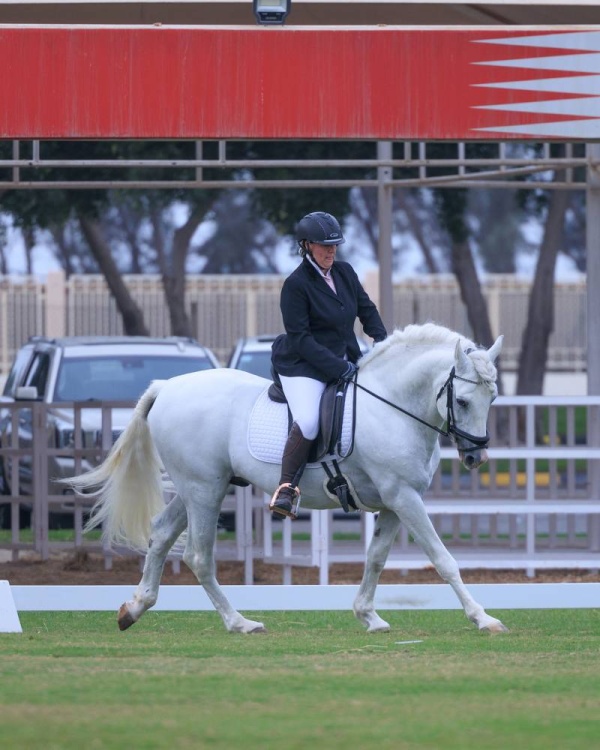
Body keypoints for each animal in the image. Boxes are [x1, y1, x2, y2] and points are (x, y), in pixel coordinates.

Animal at [70, 326, 506, 636]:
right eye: (462, 401)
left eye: (494, 399)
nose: (475, 457)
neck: (391, 406)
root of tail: (167, 387)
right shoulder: (404, 498)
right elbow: (443, 559)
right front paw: (483, 618)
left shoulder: (394, 503)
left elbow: (376, 558)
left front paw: (368, 616)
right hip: (205, 490)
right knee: (198, 556)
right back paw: (240, 623)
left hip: (197, 488)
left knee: (161, 534)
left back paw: (134, 608)